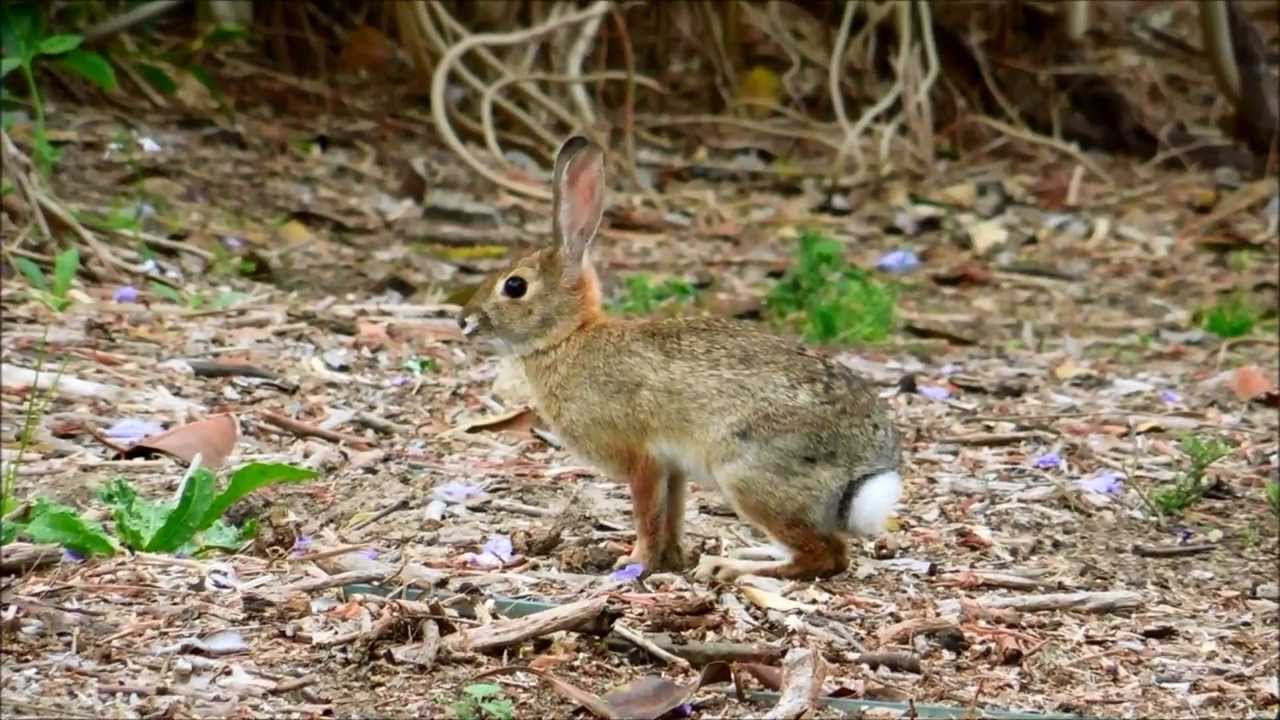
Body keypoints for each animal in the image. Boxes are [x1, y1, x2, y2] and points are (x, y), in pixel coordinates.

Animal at [458, 136, 902, 582]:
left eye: (515, 286)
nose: (464, 320)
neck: (568, 337)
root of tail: (864, 467)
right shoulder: (672, 468)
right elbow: (671, 514)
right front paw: (671, 559)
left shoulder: (642, 459)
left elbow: (647, 515)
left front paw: (634, 562)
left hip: (747, 475)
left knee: (826, 555)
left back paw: (731, 567)